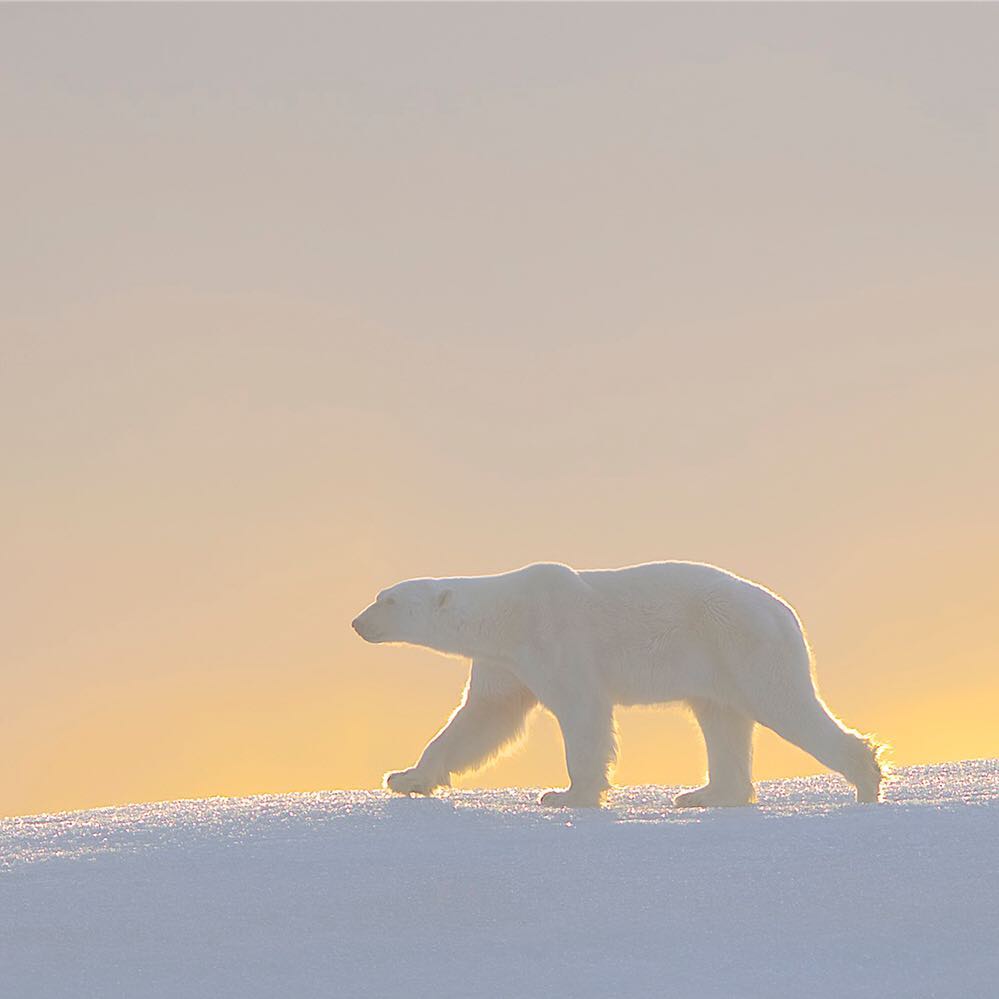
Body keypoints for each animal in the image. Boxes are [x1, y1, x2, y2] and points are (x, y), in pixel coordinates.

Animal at [352, 568, 884, 808]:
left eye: (388, 600)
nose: (357, 622)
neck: (507, 615)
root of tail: (784, 611)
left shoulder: (556, 637)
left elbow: (582, 712)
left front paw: (568, 795)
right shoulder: (505, 663)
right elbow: (482, 719)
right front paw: (405, 778)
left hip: (740, 641)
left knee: (785, 704)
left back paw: (865, 780)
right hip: (715, 665)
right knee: (722, 722)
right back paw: (705, 794)